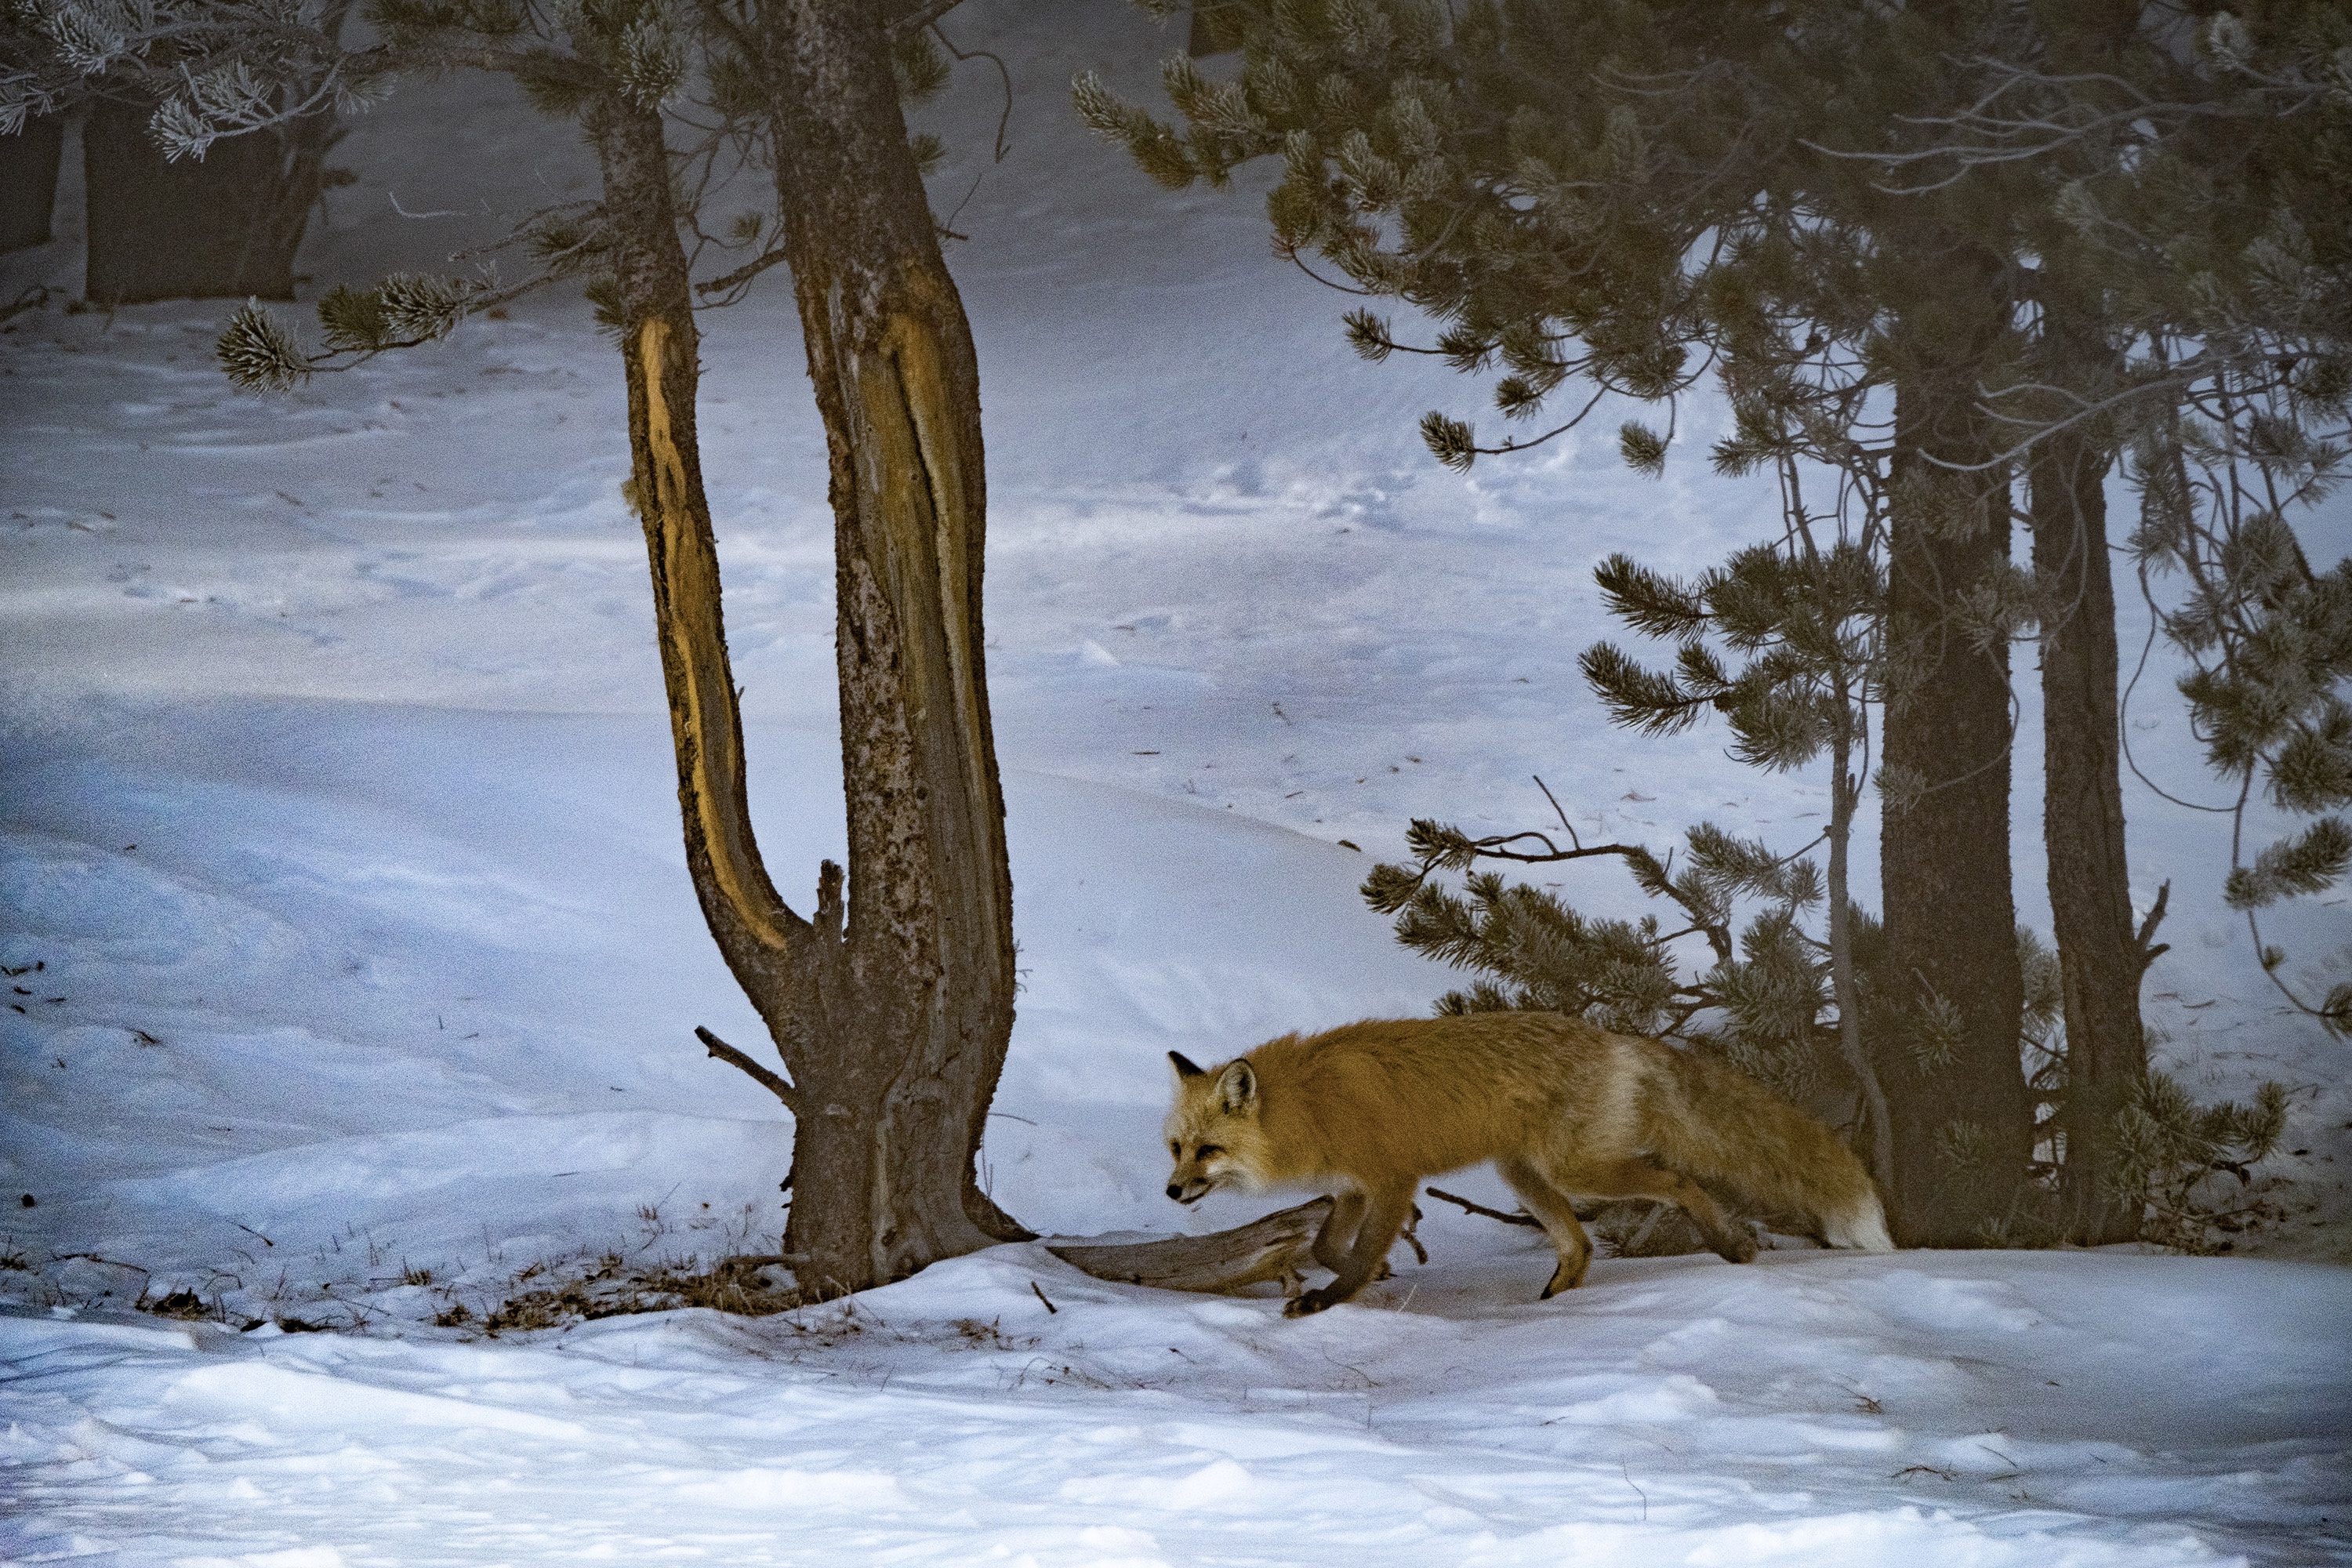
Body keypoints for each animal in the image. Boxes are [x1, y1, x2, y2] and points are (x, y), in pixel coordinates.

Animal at [1164, 1011, 1893, 1316]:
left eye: (1209, 1151)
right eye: (1176, 1148)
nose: (1171, 1192)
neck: (1309, 1107)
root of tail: (1615, 1039)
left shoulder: (1392, 1179)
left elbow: (1359, 1252)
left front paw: (1332, 1298)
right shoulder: (1352, 1187)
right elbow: (1326, 1243)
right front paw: (1364, 1272)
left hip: (1574, 1170)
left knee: (1676, 1180)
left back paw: (1731, 1245)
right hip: (1523, 1174)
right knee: (1581, 1243)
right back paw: (1558, 1298)